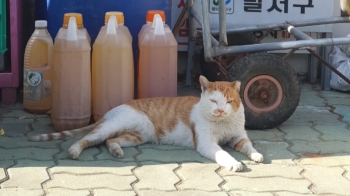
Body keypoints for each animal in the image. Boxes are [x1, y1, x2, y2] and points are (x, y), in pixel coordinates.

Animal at [28, 76, 262, 171]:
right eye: (214, 101)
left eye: (229, 102)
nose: (220, 110)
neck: (223, 123)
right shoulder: (206, 143)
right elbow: (222, 154)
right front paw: (234, 163)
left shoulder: (239, 137)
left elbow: (249, 146)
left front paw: (257, 155)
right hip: (110, 127)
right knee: (86, 138)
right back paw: (74, 151)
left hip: (136, 136)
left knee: (111, 141)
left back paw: (116, 152)